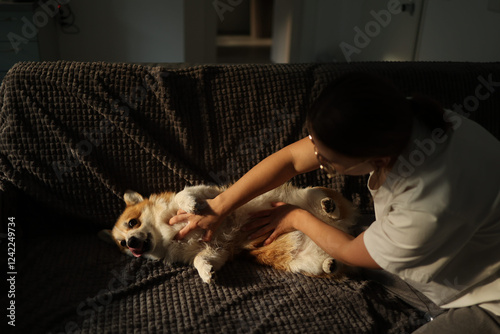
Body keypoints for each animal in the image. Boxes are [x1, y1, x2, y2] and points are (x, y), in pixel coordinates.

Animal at [101, 184, 358, 284]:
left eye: (132, 222)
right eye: (122, 244)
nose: (131, 242)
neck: (166, 235)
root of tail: (343, 231)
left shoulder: (211, 193)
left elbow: (184, 195)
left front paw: (191, 206)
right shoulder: (214, 250)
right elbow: (200, 260)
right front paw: (207, 273)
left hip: (311, 193)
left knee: (329, 206)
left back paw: (329, 207)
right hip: (301, 263)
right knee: (325, 265)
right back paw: (329, 264)